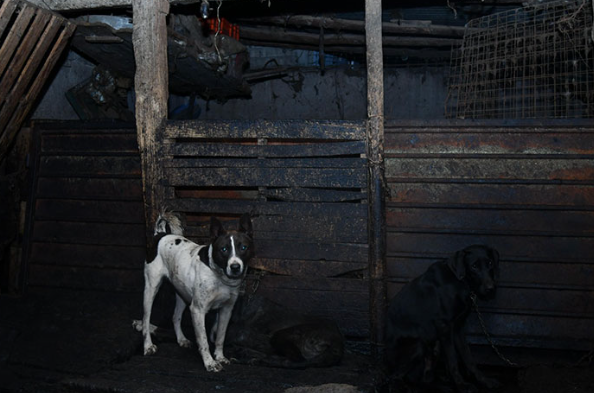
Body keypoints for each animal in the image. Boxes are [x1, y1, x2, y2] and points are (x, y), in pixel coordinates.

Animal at [132, 211, 252, 370]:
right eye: (224, 249)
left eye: (243, 248)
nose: (235, 267)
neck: (218, 276)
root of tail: (161, 235)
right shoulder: (197, 310)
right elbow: (204, 340)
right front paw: (209, 362)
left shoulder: (226, 310)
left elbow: (220, 336)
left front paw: (220, 357)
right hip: (151, 289)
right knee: (146, 320)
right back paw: (148, 346)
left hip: (182, 294)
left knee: (175, 317)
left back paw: (181, 339)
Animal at [384, 243, 500, 390]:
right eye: (474, 266)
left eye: (490, 263)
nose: (491, 289)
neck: (460, 281)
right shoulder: (444, 327)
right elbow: (452, 358)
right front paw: (461, 384)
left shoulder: (458, 328)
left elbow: (468, 357)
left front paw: (483, 381)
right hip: (418, 345)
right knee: (393, 377)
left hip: (434, 346)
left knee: (425, 376)